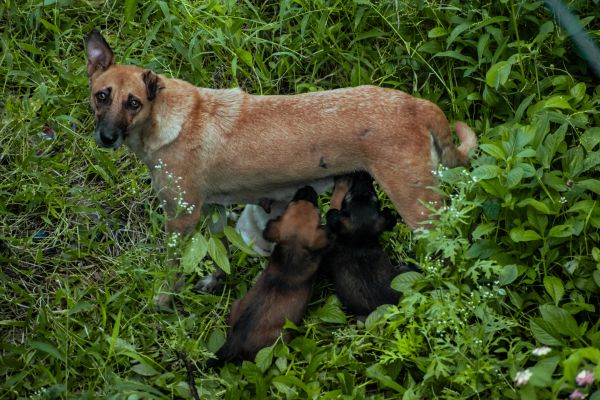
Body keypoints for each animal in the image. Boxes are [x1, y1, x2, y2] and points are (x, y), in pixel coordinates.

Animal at [85, 29, 478, 245]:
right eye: (101, 95)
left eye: (133, 102)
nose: (106, 137)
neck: (161, 121)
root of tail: (416, 103)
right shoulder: (212, 211)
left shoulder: (182, 216)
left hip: (419, 208)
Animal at [209, 186, 330, 368]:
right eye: (317, 211)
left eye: (289, 205)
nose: (306, 188)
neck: (292, 251)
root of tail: (234, 341)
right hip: (282, 336)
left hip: (236, 304)